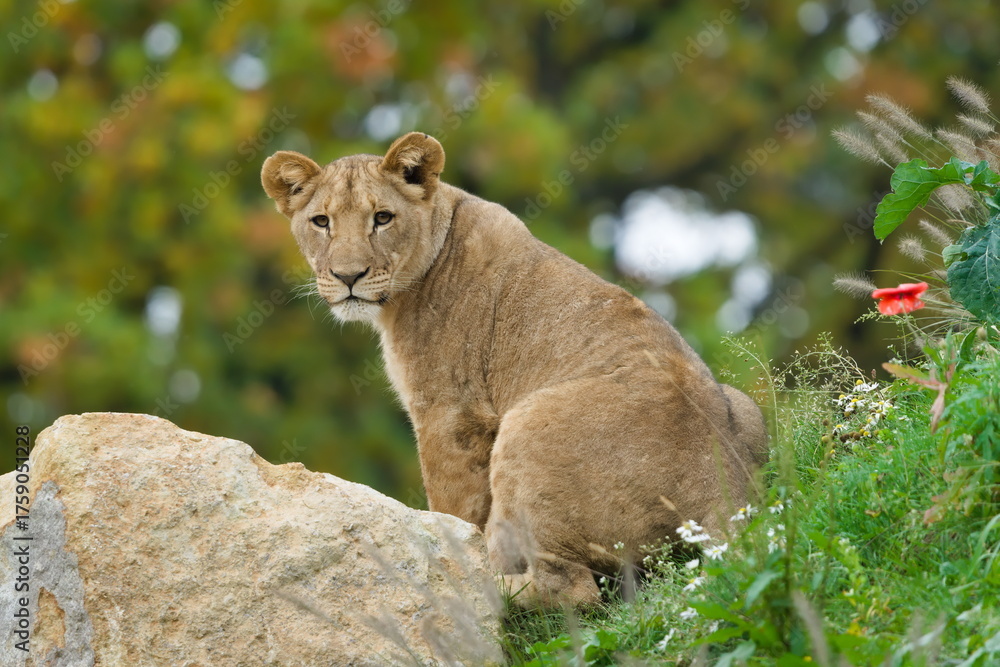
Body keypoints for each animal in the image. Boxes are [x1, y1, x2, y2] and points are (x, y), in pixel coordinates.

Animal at [261, 132, 768, 607]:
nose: (348, 277)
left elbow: (453, 509)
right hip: (742, 405)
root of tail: (721, 483)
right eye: (321, 222)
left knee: (572, 591)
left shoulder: (449, 413)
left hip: (527, 421)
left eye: (382, 218)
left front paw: (449, 555)